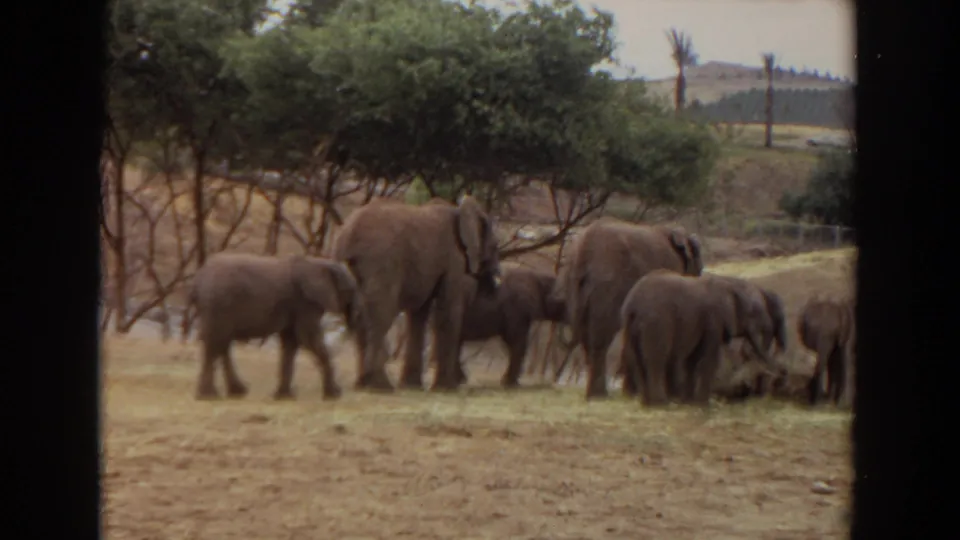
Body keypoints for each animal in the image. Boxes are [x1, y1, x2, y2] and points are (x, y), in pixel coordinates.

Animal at [187, 252, 365, 401]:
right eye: (350, 290)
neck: (318, 262)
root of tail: (196, 281)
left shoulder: (296, 305)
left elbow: (291, 341)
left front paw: (283, 397)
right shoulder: (305, 302)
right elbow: (307, 338)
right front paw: (334, 395)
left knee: (221, 344)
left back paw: (236, 393)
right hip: (218, 303)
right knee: (215, 344)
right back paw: (209, 397)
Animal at [331, 195, 502, 392]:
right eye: (495, 246)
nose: (497, 276)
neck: (460, 211)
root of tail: (347, 236)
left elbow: (419, 314)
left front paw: (412, 386)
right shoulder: (455, 260)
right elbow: (448, 312)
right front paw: (447, 389)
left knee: (358, 317)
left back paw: (362, 384)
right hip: (381, 263)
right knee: (381, 314)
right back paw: (380, 386)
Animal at [553, 218, 704, 399]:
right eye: (699, 268)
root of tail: (584, 250)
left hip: (573, 286)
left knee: (585, 335)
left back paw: (595, 393)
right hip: (608, 283)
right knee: (601, 335)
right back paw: (599, 395)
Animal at [618, 270, 784, 406]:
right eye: (753, 312)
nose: (778, 375)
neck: (729, 283)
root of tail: (633, 305)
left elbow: (692, 359)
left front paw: (688, 401)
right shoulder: (714, 319)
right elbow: (709, 358)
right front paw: (703, 403)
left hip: (629, 326)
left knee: (636, 358)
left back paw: (646, 403)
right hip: (657, 323)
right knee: (657, 358)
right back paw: (661, 403)